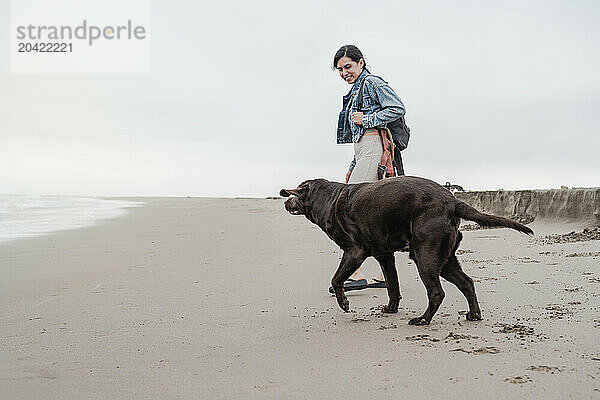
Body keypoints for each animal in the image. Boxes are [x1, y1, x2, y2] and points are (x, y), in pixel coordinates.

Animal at [278, 177, 532, 324]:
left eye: (293, 195)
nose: (284, 202)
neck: (328, 200)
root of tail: (452, 201)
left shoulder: (354, 252)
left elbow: (336, 278)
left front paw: (344, 303)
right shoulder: (384, 255)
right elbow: (392, 285)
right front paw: (391, 309)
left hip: (425, 257)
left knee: (437, 292)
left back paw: (423, 320)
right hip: (444, 259)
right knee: (467, 283)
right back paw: (473, 315)